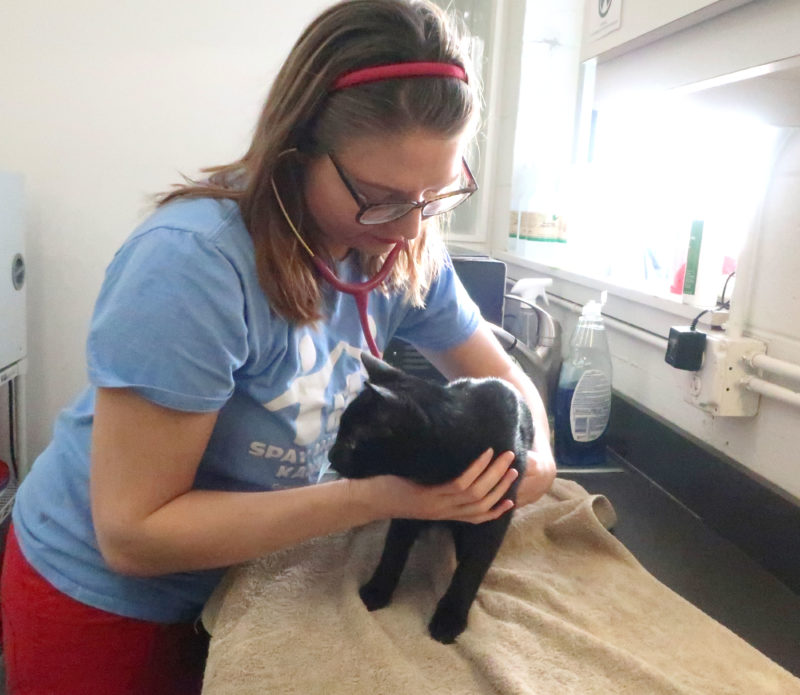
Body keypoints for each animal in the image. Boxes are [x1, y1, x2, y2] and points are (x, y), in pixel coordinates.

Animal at [328, 354, 536, 648]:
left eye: (352, 441)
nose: (331, 456)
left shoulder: (496, 515)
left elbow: (471, 568)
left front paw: (450, 618)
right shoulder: (408, 508)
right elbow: (392, 551)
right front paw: (378, 590)